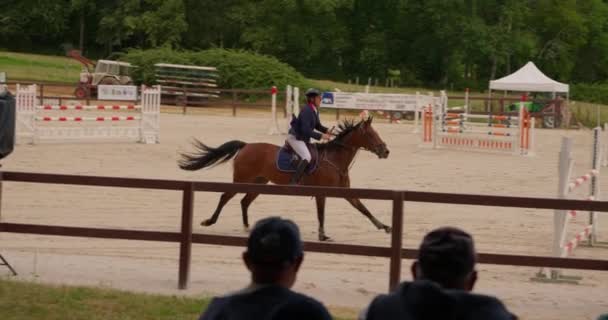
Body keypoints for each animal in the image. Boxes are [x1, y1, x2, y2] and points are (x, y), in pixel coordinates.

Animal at [178, 117, 392, 240]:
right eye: (371, 134)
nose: (386, 151)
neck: (335, 158)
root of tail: (246, 145)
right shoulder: (322, 193)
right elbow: (321, 213)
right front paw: (323, 236)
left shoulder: (345, 192)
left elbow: (363, 207)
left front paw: (384, 226)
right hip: (241, 180)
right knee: (225, 196)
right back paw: (209, 221)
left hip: (259, 183)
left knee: (244, 201)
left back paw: (247, 227)